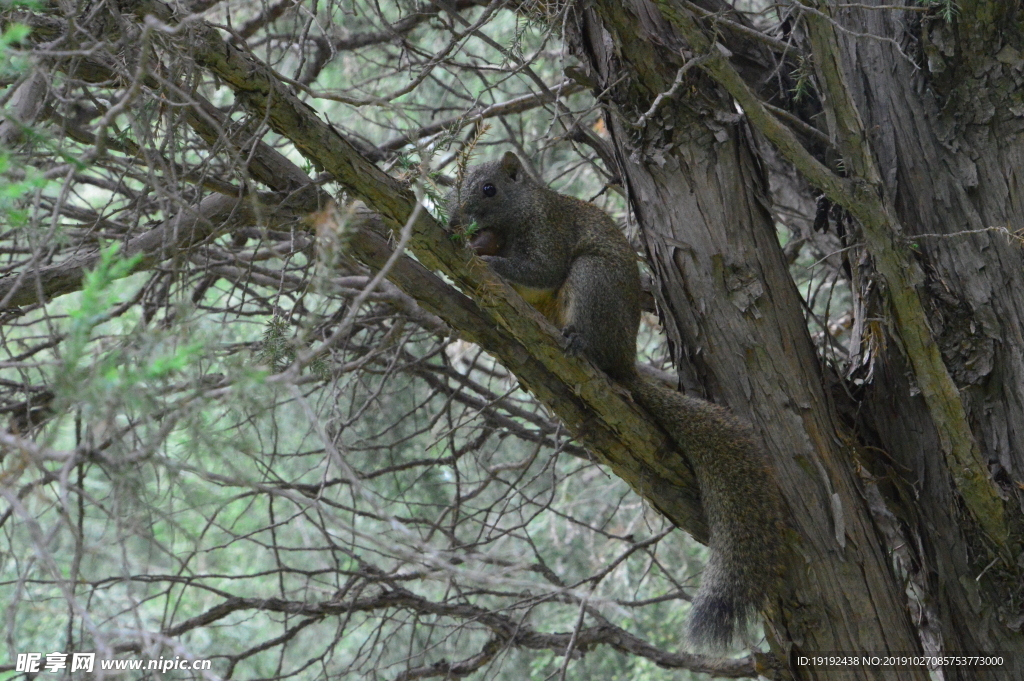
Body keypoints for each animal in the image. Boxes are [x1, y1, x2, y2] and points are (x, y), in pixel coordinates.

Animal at [446, 150, 782, 647]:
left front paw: (480, 256)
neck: (518, 215)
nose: (460, 217)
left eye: (489, 189)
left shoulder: (550, 230)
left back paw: (579, 345)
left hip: (593, 280)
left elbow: (541, 268)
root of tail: (625, 361)